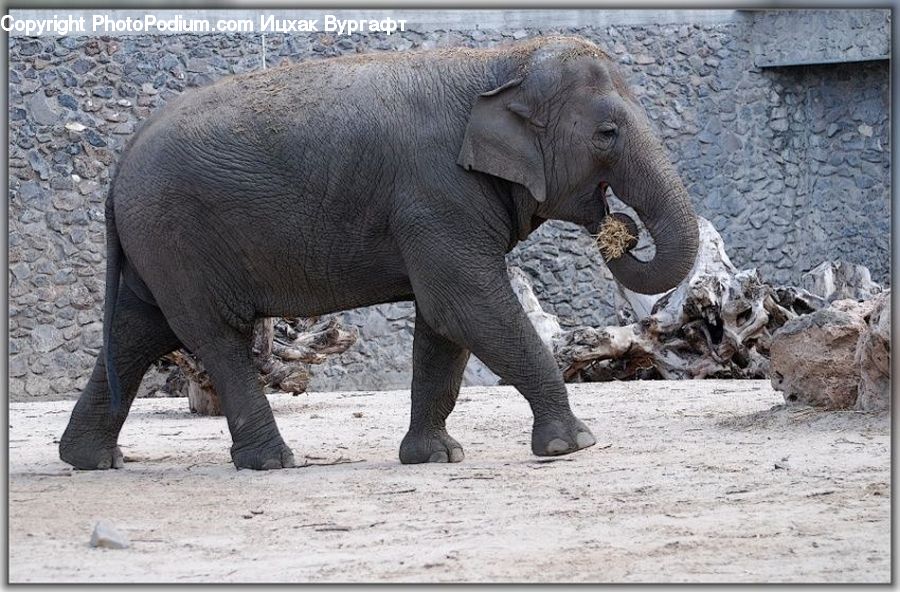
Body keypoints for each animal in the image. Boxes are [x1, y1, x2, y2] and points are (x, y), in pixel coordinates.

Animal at [58, 35, 699, 471]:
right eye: (607, 135)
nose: (620, 227)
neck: (499, 61)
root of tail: (120, 165)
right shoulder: (438, 193)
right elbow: (465, 306)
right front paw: (573, 445)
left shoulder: (436, 209)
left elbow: (443, 325)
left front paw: (434, 457)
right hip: (176, 235)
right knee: (213, 335)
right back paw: (274, 463)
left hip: (158, 243)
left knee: (138, 329)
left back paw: (91, 461)